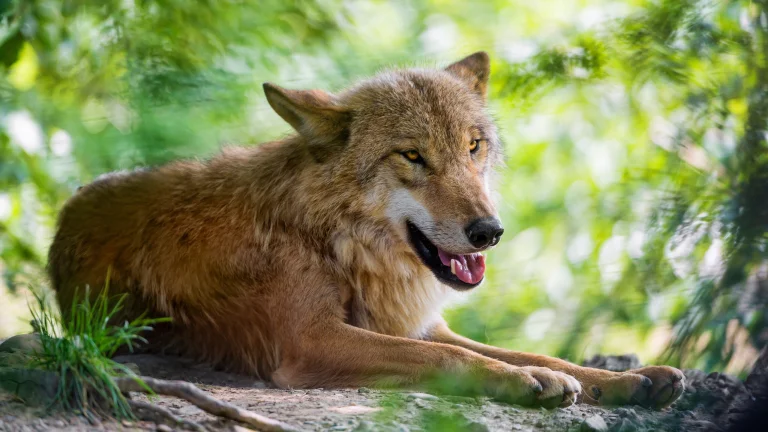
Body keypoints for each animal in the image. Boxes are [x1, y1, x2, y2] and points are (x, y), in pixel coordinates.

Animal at [48, 52, 684, 409]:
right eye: (412, 156)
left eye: (473, 146)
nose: (490, 231)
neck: (335, 240)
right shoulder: (311, 340)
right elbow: (456, 361)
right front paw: (528, 381)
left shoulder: (422, 325)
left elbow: (527, 350)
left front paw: (628, 379)